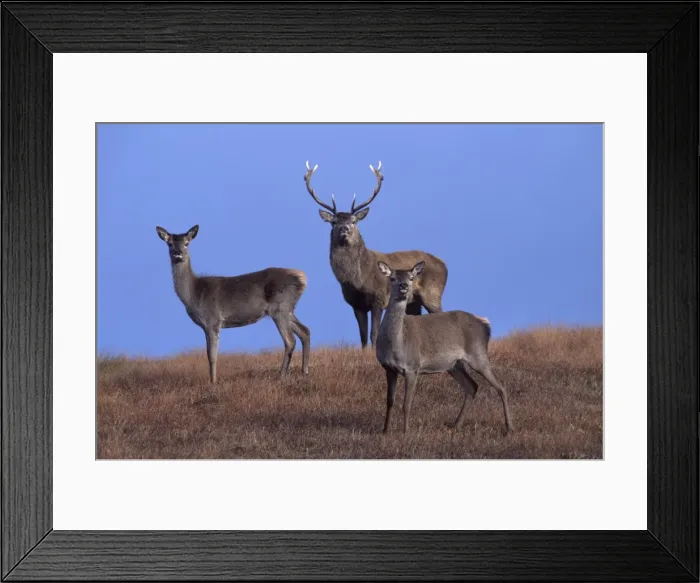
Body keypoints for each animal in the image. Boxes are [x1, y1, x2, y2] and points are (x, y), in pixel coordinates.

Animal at [155, 224, 311, 384]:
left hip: (279, 308)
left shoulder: (213, 321)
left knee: (290, 340)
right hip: (288, 309)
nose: (178, 254)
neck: (194, 294)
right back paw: (304, 371)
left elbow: (212, 356)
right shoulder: (206, 326)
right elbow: (208, 354)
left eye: (187, 243)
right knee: (305, 331)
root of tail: (302, 279)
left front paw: (213, 382)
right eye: (170, 244)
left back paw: (281, 375)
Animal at [304, 160, 448, 349]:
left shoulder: (378, 298)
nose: (344, 229)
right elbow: (363, 336)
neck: (358, 279)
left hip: (433, 293)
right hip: (414, 302)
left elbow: (374, 333)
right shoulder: (355, 304)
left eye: (354, 221)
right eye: (334, 222)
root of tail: (445, 265)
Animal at [375, 260, 514, 435]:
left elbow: (407, 404)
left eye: (411, 277)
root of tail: (484, 323)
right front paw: (385, 431)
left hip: (478, 354)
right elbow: (389, 402)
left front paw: (406, 432)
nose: (404, 286)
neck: (397, 344)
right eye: (392, 278)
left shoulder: (413, 367)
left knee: (501, 386)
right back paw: (456, 425)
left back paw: (509, 427)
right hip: (454, 365)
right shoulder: (388, 368)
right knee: (472, 387)